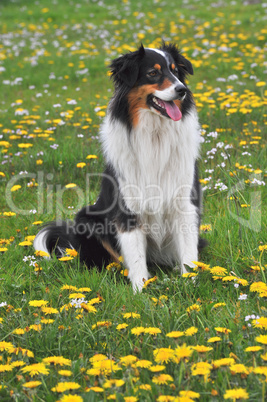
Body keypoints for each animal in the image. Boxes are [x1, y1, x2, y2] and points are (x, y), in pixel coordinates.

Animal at [34, 42, 205, 290]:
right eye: (152, 73)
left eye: (175, 71)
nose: (182, 89)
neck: (155, 135)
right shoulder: (127, 207)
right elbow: (135, 256)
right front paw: (142, 289)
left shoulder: (184, 201)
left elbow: (189, 253)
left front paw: (190, 283)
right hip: (87, 218)